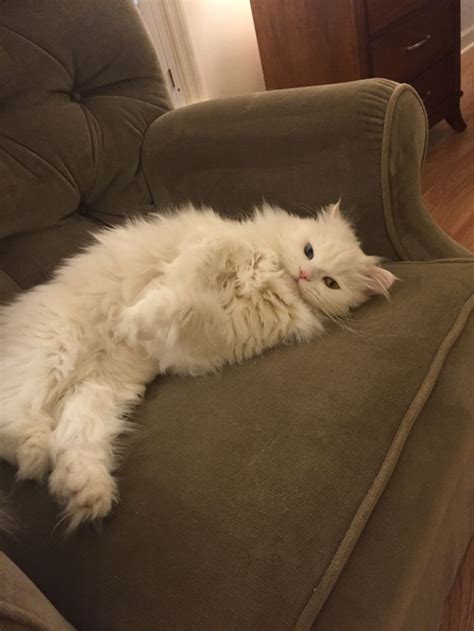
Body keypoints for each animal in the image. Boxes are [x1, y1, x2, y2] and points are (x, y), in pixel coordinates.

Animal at [0, 202, 394, 528]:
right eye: (309, 250)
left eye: (330, 283)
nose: (303, 274)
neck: (270, 279)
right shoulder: (215, 243)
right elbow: (200, 261)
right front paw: (135, 311)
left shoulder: (210, 336)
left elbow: (181, 307)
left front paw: (134, 321)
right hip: (55, 350)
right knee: (17, 416)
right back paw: (37, 449)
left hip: (98, 393)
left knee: (66, 442)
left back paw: (83, 491)